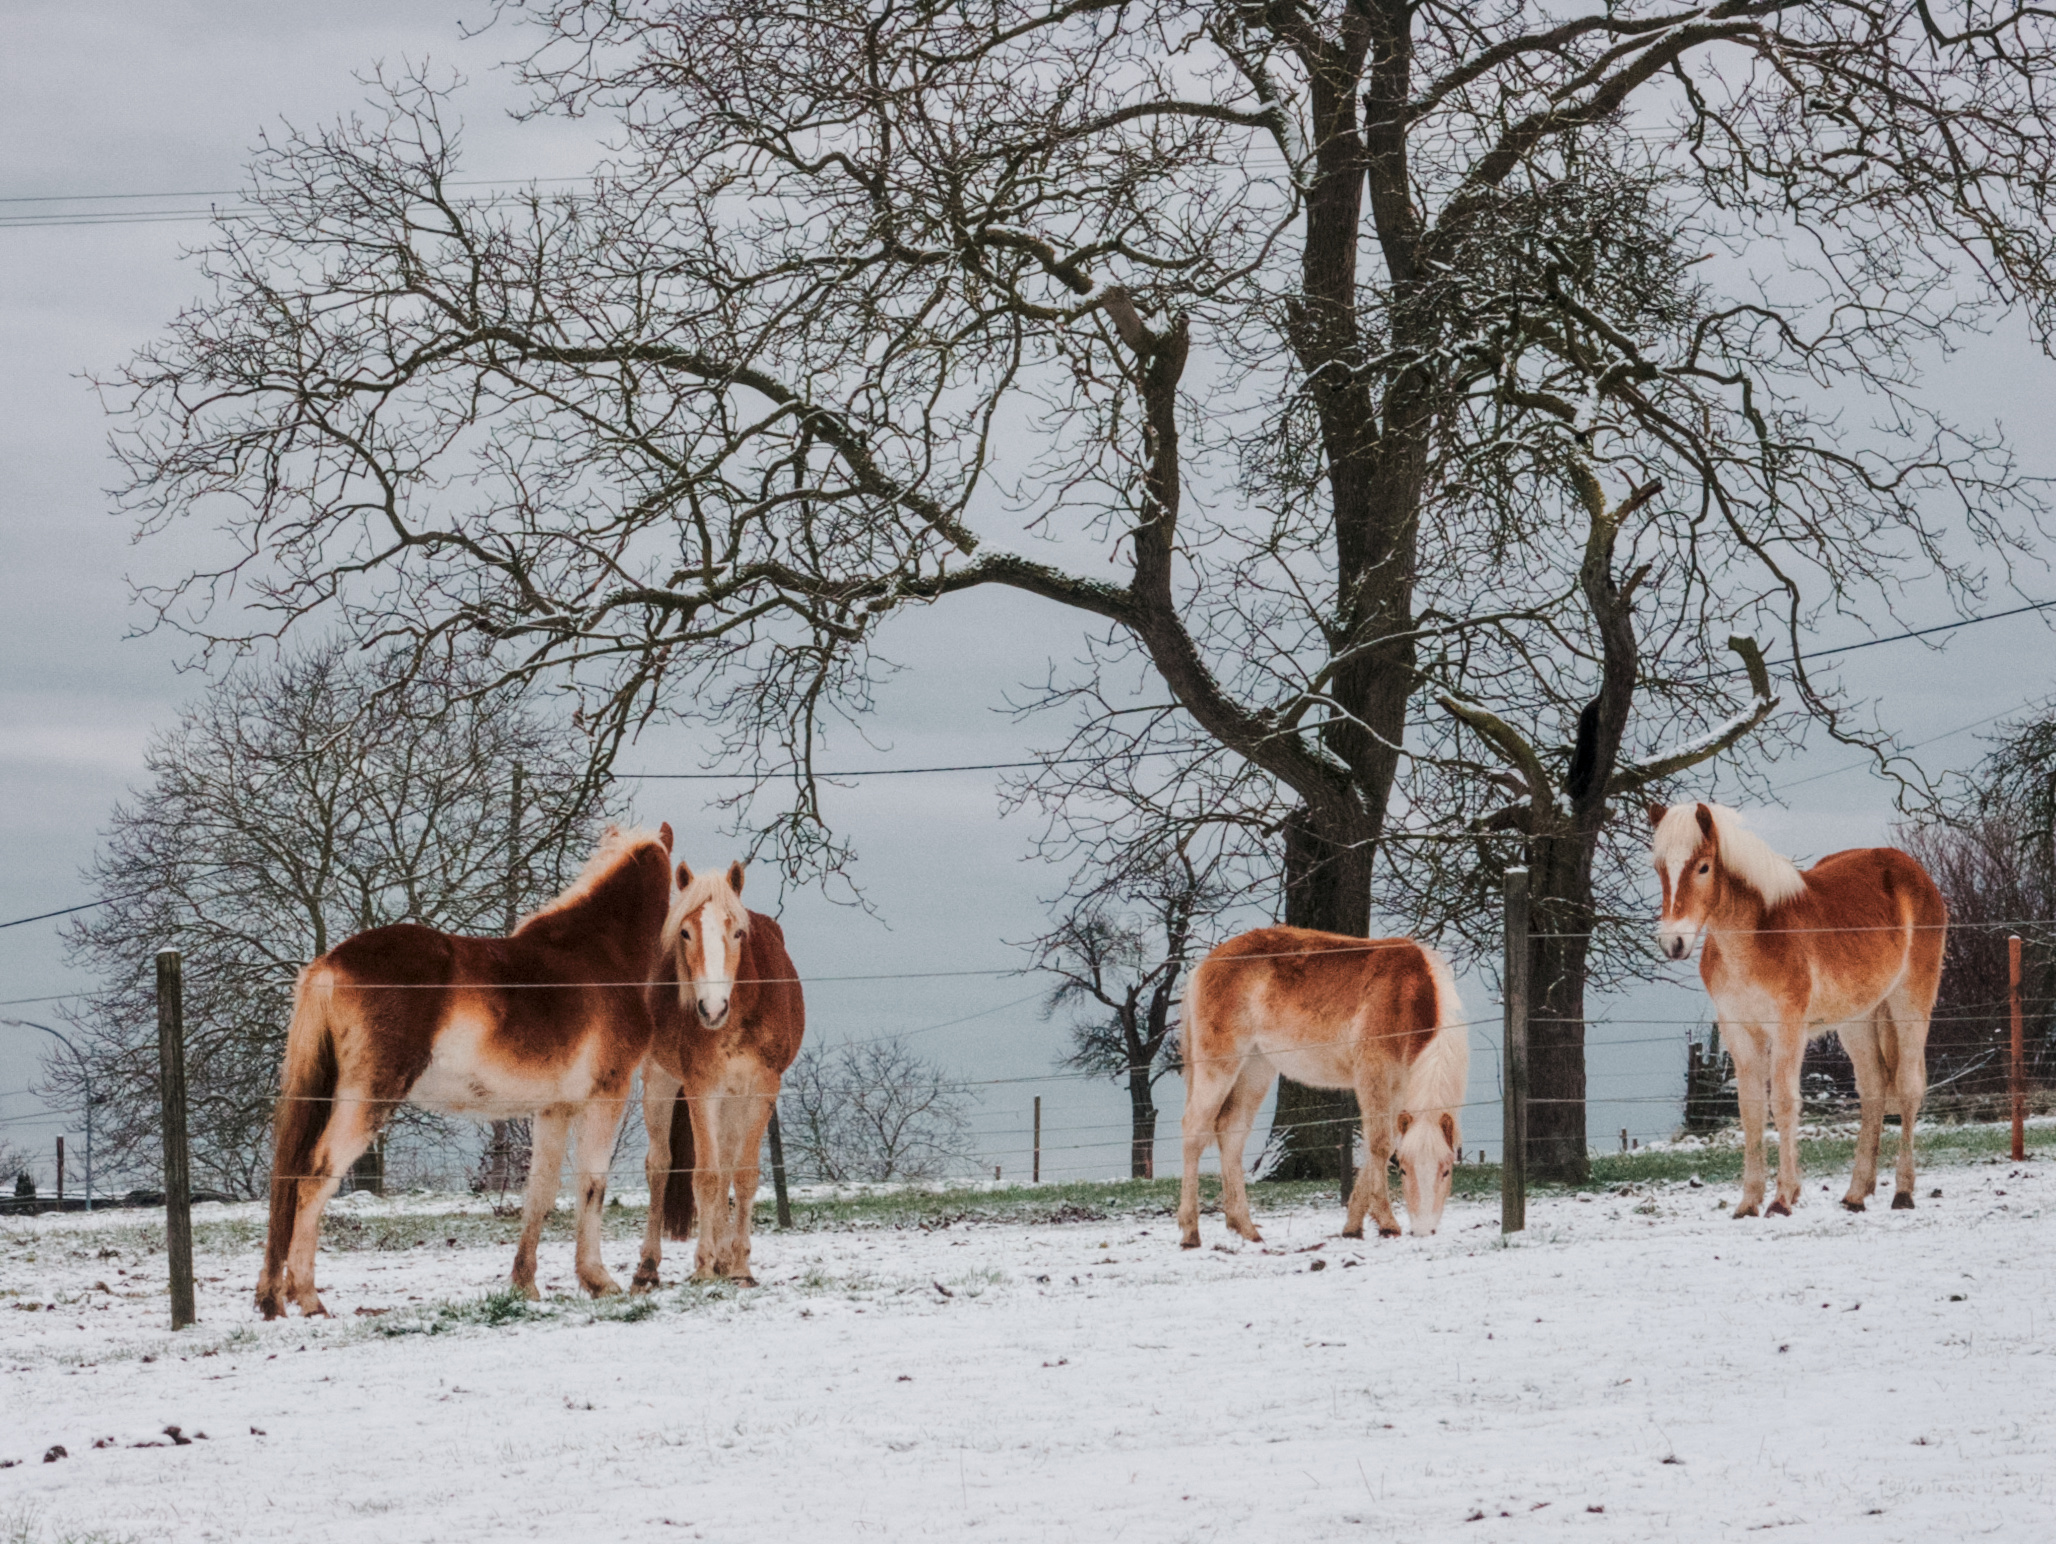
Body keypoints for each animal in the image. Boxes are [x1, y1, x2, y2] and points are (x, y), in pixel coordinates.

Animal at [255, 824, 676, 1319]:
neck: (599, 955)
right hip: (367, 1099)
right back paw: (309, 1298)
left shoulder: (553, 1110)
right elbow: (592, 1184)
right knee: (313, 1179)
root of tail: (329, 964)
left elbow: (540, 1192)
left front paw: (525, 1284)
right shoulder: (607, 1096)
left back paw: (273, 1298)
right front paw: (599, 1281)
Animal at [633, 858, 804, 1290]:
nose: (711, 1008)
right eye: (685, 932)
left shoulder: (762, 1088)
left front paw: (739, 1265)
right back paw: (648, 1267)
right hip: (660, 1083)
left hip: (732, 1099)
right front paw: (703, 1264)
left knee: (725, 1164)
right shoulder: (701, 1087)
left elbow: (740, 1175)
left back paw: (725, 1260)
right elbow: (706, 1177)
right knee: (659, 1166)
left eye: (738, 932)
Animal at [1176, 927, 1468, 1249]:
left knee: (1231, 1133)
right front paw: (1386, 1223)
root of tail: (1206, 963)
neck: (1409, 993)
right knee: (1193, 1131)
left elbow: (1385, 1143)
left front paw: (1353, 1225)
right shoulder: (1373, 1073)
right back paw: (1190, 1232)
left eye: (1446, 1170)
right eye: (1404, 1169)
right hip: (1219, 1065)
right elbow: (1379, 1145)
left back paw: (1246, 1228)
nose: (1423, 1230)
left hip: (1255, 1069)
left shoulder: (1400, 1085)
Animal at [1649, 801, 1947, 1216]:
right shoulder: (1739, 1031)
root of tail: (1915, 874)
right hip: (1857, 1019)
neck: (1758, 936)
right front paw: (1748, 1202)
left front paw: (1781, 1199)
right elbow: (1751, 1109)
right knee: (1873, 1088)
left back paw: (1903, 1192)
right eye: (1659, 867)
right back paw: (1856, 1194)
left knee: (1907, 1087)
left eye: (1703, 866)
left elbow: (1785, 1103)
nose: (1673, 942)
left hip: (1910, 1004)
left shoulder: (1788, 1027)